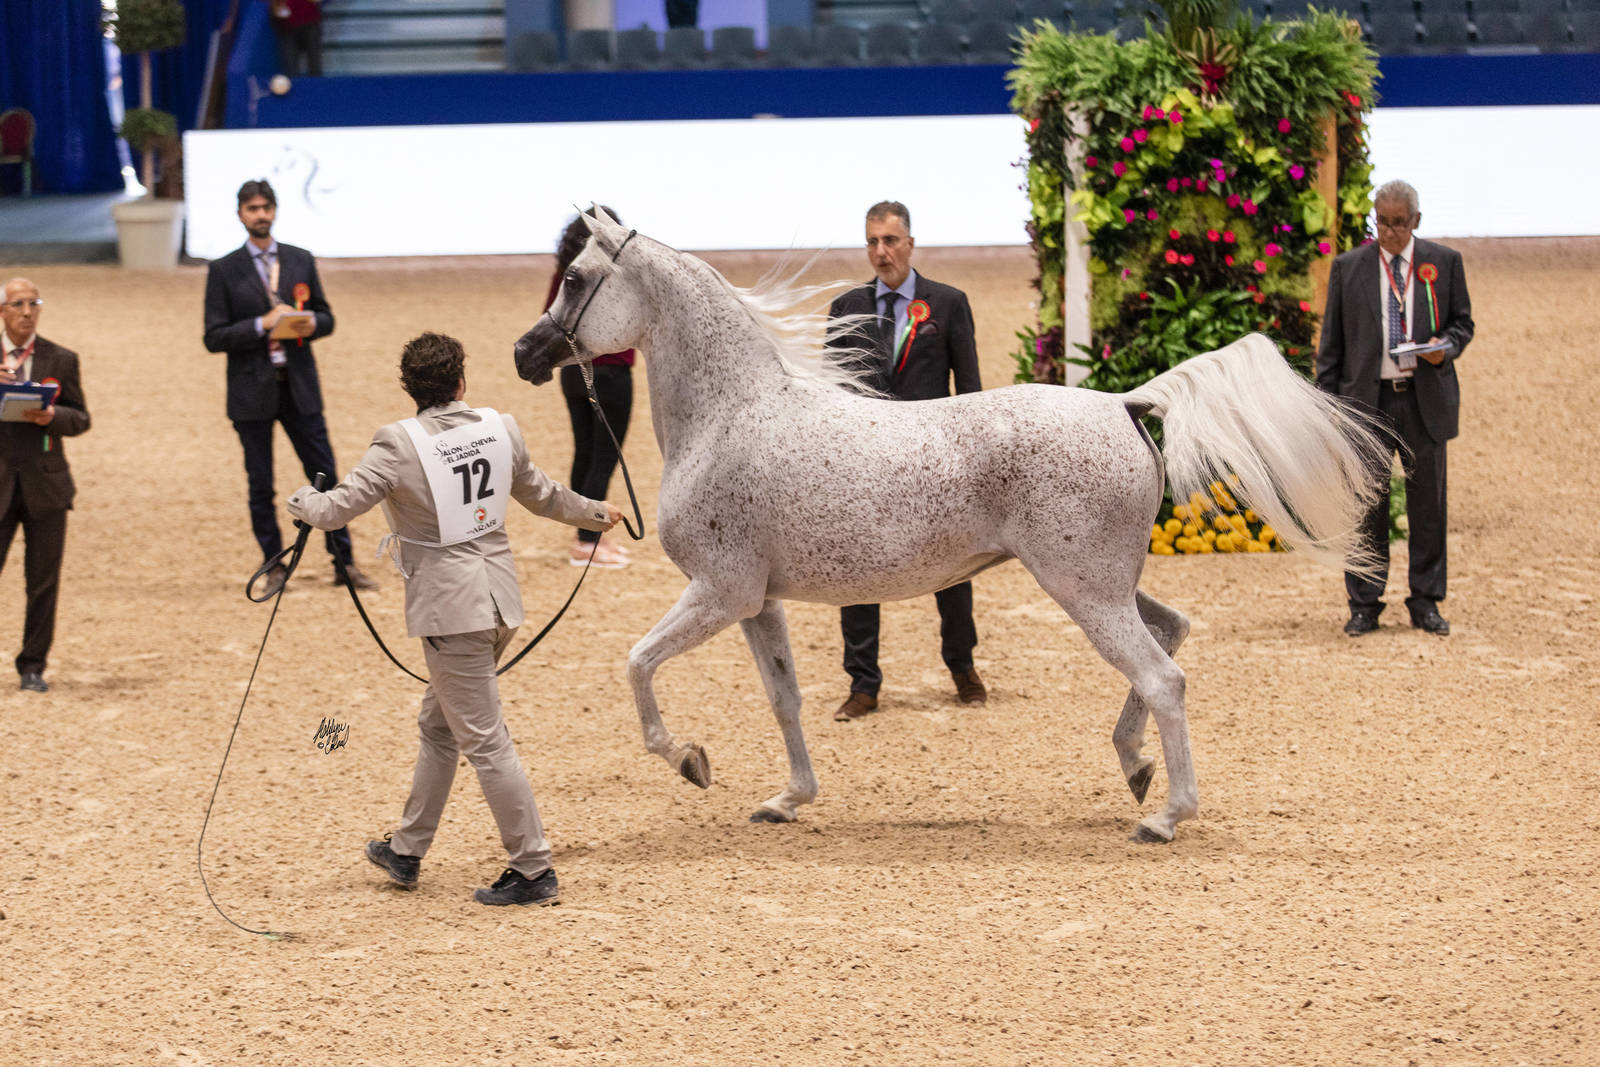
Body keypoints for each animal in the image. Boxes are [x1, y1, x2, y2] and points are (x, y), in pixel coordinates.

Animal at [513, 211, 1384, 843]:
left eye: (578, 278)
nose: (526, 353)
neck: (730, 414)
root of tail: (1120, 402)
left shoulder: (718, 592)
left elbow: (637, 663)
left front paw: (690, 760)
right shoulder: (758, 602)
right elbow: (785, 700)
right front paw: (788, 798)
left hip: (1084, 590)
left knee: (1162, 676)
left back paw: (1165, 815)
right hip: (1108, 584)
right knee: (1171, 634)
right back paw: (1135, 766)